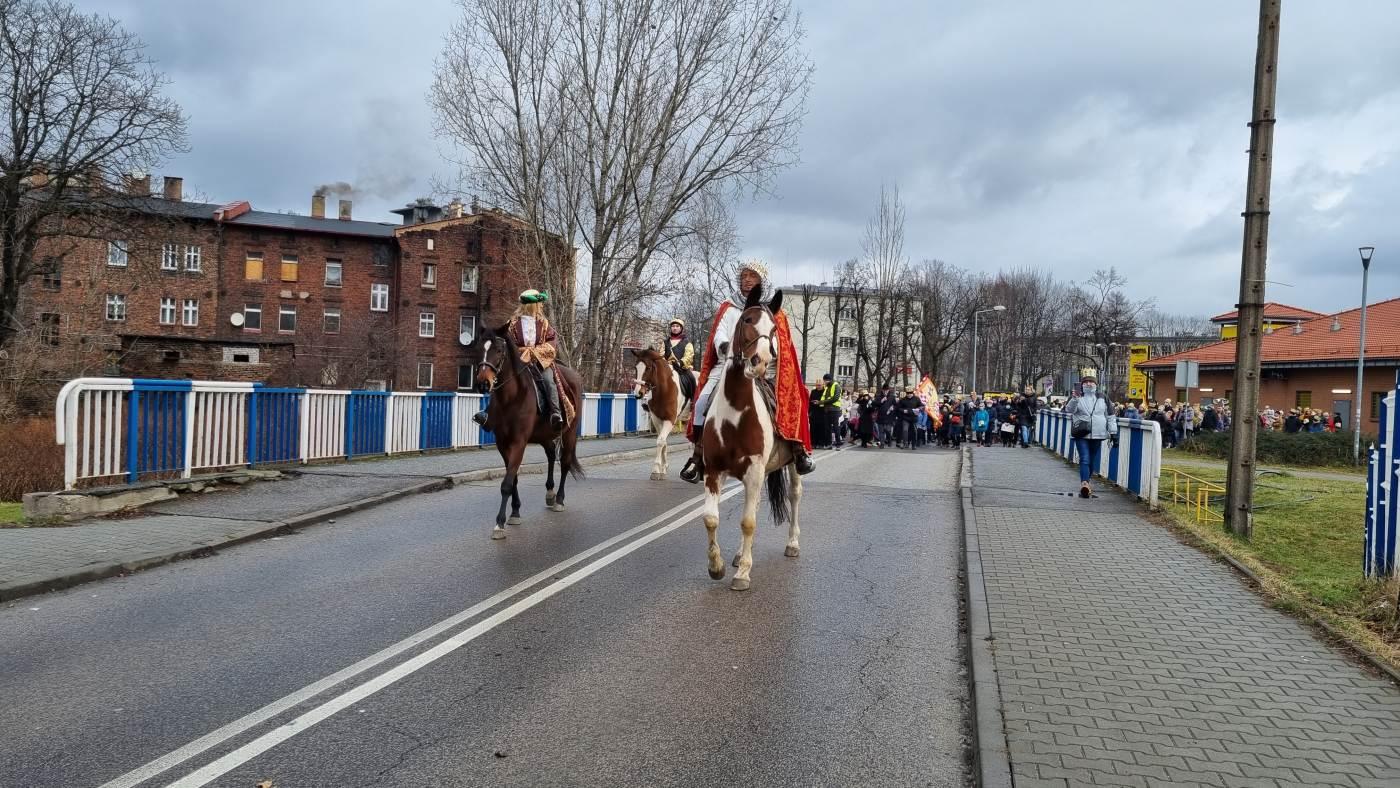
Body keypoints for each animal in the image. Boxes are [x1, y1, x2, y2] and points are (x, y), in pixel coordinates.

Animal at [473, 323, 576, 540]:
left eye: (499, 350)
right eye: (479, 349)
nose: (483, 383)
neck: (511, 397)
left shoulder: (519, 442)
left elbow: (506, 483)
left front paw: (499, 524)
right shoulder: (503, 443)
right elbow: (513, 479)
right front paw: (515, 512)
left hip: (570, 433)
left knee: (564, 463)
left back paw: (559, 499)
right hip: (545, 435)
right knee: (551, 455)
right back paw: (550, 493)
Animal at [632, 349, 697, 481]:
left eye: (648, 368)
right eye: (636, 367)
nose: (638, 393)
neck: (664, 389)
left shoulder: (670, 420)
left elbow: (661, 441)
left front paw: (656, 469)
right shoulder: (657, 419)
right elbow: (663, 442)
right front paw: (663, 469)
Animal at [697, 286, 800, 587]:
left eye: (774, 327)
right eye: (747, 320)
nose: (760, 361)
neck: (735, 412)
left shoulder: (754, 470)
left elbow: (748, 522)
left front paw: (743, 573)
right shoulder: (714, 470)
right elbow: (711, 518)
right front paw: (717, 566)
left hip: (792, 465)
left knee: (794, 495)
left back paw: (792, 544)